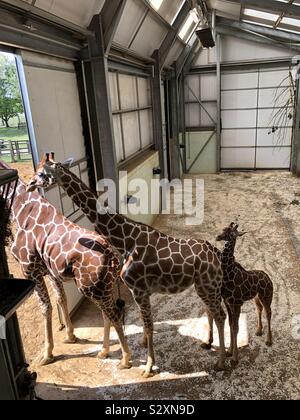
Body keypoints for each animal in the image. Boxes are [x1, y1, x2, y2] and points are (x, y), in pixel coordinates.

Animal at [0, 159, 131, 370]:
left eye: (41, 174)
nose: (31, 184)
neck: (20, 209)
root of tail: (111, 255)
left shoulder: (29, 270)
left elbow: (46, 307)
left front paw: (47, 354)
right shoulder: (51, 271)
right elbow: (62, 299)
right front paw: (70, 336)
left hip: (92, 288)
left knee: (114, 314)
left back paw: (125, 359)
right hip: (103, 287)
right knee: (107, 315)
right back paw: (103, 351)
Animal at [27, 153, 227, 376]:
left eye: (42, 173)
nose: (29, 184)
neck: (125, 241)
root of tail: (217, 254)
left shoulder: (139, 290)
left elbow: (149, 326)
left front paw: (147, 367)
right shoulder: (138, 291)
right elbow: (144, 323)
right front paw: (142, 348)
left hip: (208, 285)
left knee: (220, 315)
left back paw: (221, 362)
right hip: (203, 287)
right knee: (213, 312)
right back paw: (209, 344)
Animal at [216, 223, 274, 364]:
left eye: (232, 233)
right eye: (223, 229)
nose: (218, 237)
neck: (228, 274)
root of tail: (268, 278)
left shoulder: (237, 304)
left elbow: (235, 328)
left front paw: (235, 358)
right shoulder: (227, 303)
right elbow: (231, 325)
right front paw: (229, 351)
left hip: (266, 296)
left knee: (268, 312)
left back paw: (269, 340)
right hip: (256, 298)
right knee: (259, 309)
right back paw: (259, 331)